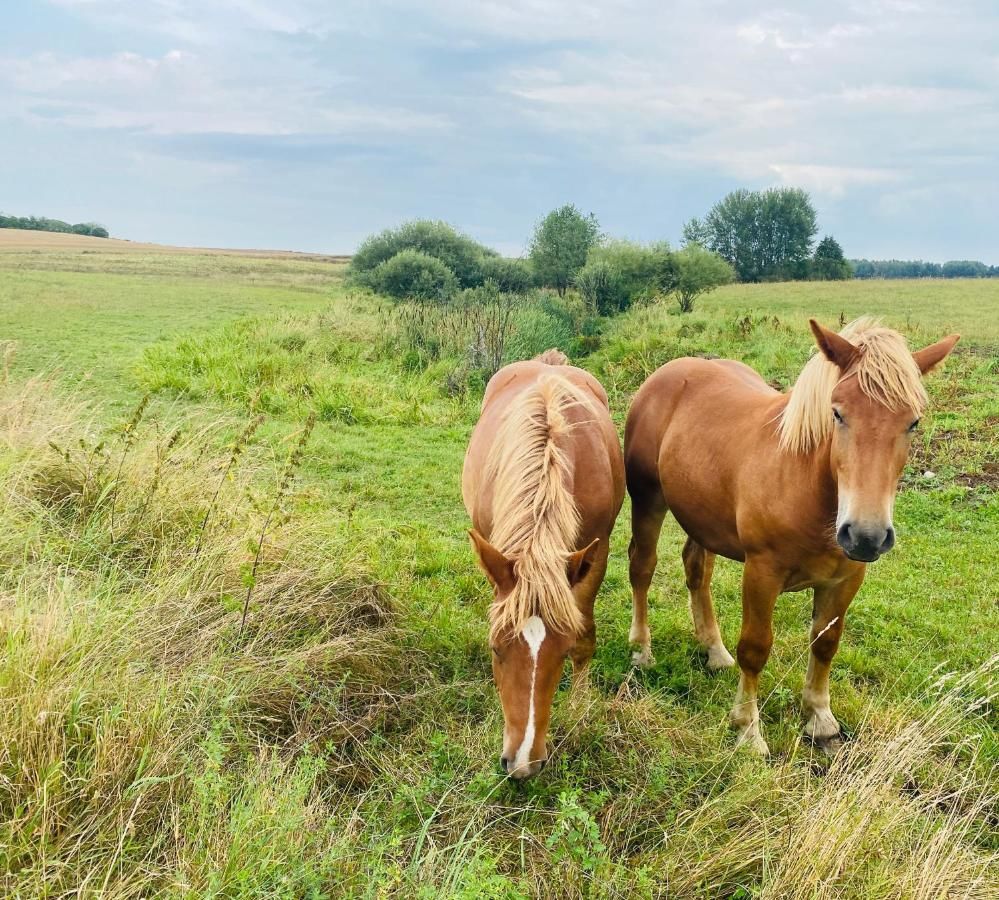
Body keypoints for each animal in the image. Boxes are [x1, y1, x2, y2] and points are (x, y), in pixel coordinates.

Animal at [462, 348, 620, 776]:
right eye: (495, 649)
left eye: (561, 654)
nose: (522, 764)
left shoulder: (594, 556)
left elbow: (586, 635)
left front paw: (580, 709)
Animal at [624, 320, 960, 756]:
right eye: (837, 413)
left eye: (913, 422)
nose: (866, 535)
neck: (805, 485)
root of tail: (668, 373)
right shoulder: (761, 574)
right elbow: (755, 648)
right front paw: (748, 731)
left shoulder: (846, 579)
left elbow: (825, 642)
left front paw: (820, 720)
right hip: (648, 500)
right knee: (642, 567)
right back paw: (641, 650)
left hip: (700, 515)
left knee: (697, 571)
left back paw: (714, 650)